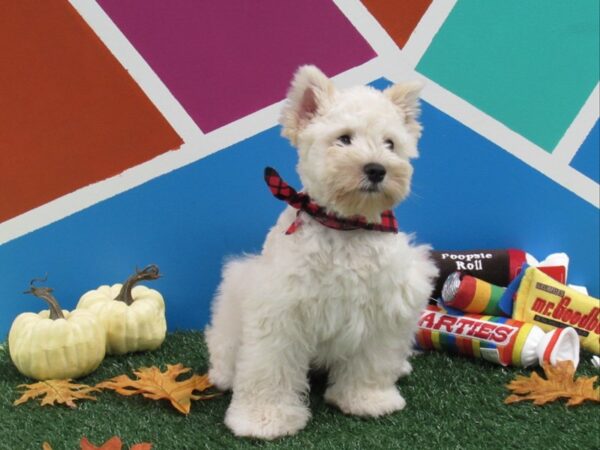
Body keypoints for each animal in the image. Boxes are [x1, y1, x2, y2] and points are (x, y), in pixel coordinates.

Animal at [205, 67, 436, 440]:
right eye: (343, 139)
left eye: (390, 143)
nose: (377, 169)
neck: (346, 226)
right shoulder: (280, 312)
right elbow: (268, 370)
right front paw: (264, 418)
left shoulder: (385, 310)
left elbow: (372, 363)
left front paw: (367, 399)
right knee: (222, 344)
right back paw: (223, 374)